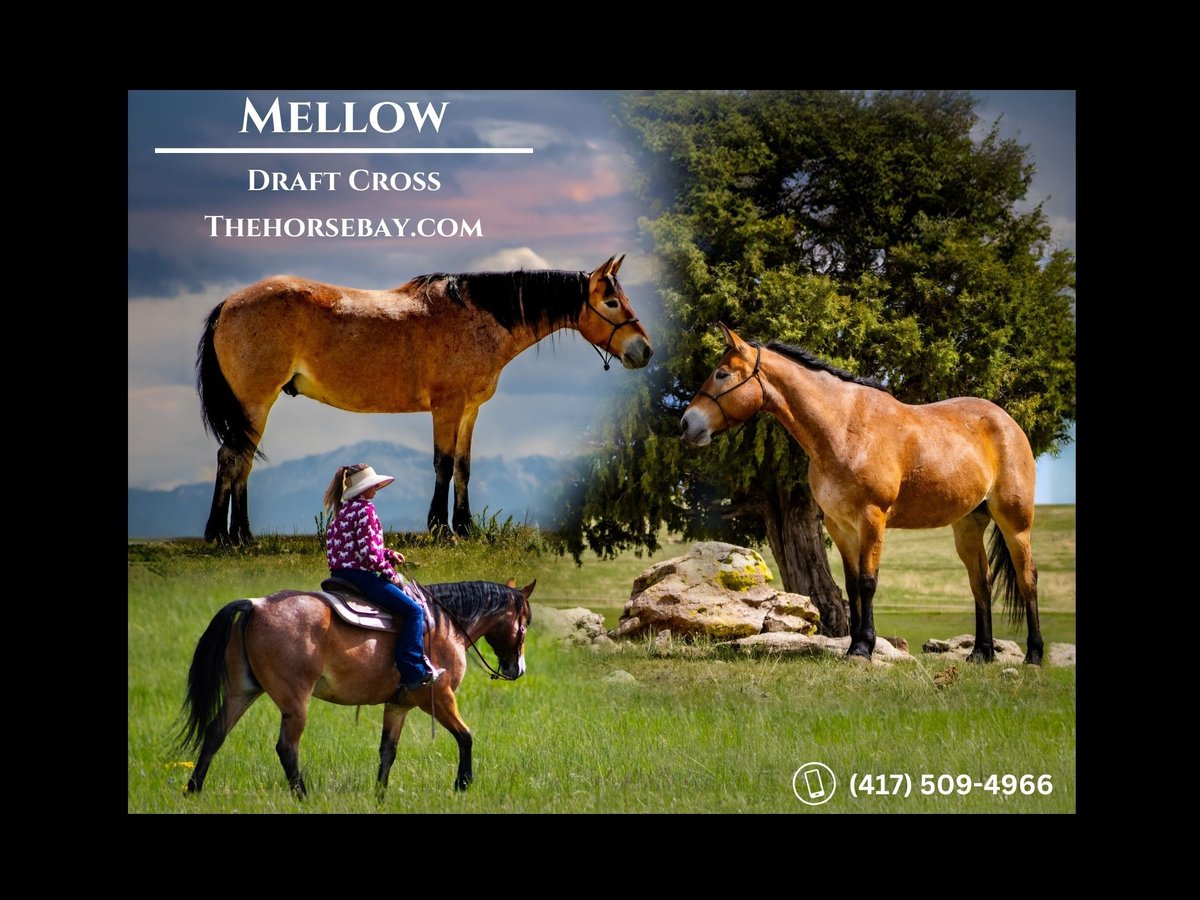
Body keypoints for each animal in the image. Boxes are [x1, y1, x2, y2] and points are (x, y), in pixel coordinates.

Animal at [175, 578, 532, 796]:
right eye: (525, 623)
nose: (517, 670)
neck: (443, 624)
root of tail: (256, 604)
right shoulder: (439, 696)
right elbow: (465, 736)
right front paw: (462, 784)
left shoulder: (398, 705)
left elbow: (388, 751)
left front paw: (380, 795)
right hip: (294, 702)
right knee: (286, 747)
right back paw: (303, 796)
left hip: (242, 692)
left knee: (214, 734)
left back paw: (193, 789)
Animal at [196, 256, 652, 547]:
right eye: (612, 302)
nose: (644, 351)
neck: (477, 317)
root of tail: (228, 304)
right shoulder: (446, 407)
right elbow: (443, 464)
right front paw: (441, 528)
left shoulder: (469, 411)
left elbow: (464, 467)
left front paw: (466, 527)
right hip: (255, 402)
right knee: (233, 457)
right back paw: (226, 535)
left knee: (240, 460)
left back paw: (237, 534)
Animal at [686, 328, 1041, 667]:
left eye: (721, 374)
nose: (686, 423)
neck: (843, 429)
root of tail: (1008, 422)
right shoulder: (840, 526)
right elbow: (853, 584)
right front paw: (854, 645)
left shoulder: (872, 518)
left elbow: (869, 582)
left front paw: (863, 648)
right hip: (968, 525)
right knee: (981, 582)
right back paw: (981, 653)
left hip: (1015, 521)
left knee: (1027, 579)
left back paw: (1034, 655)